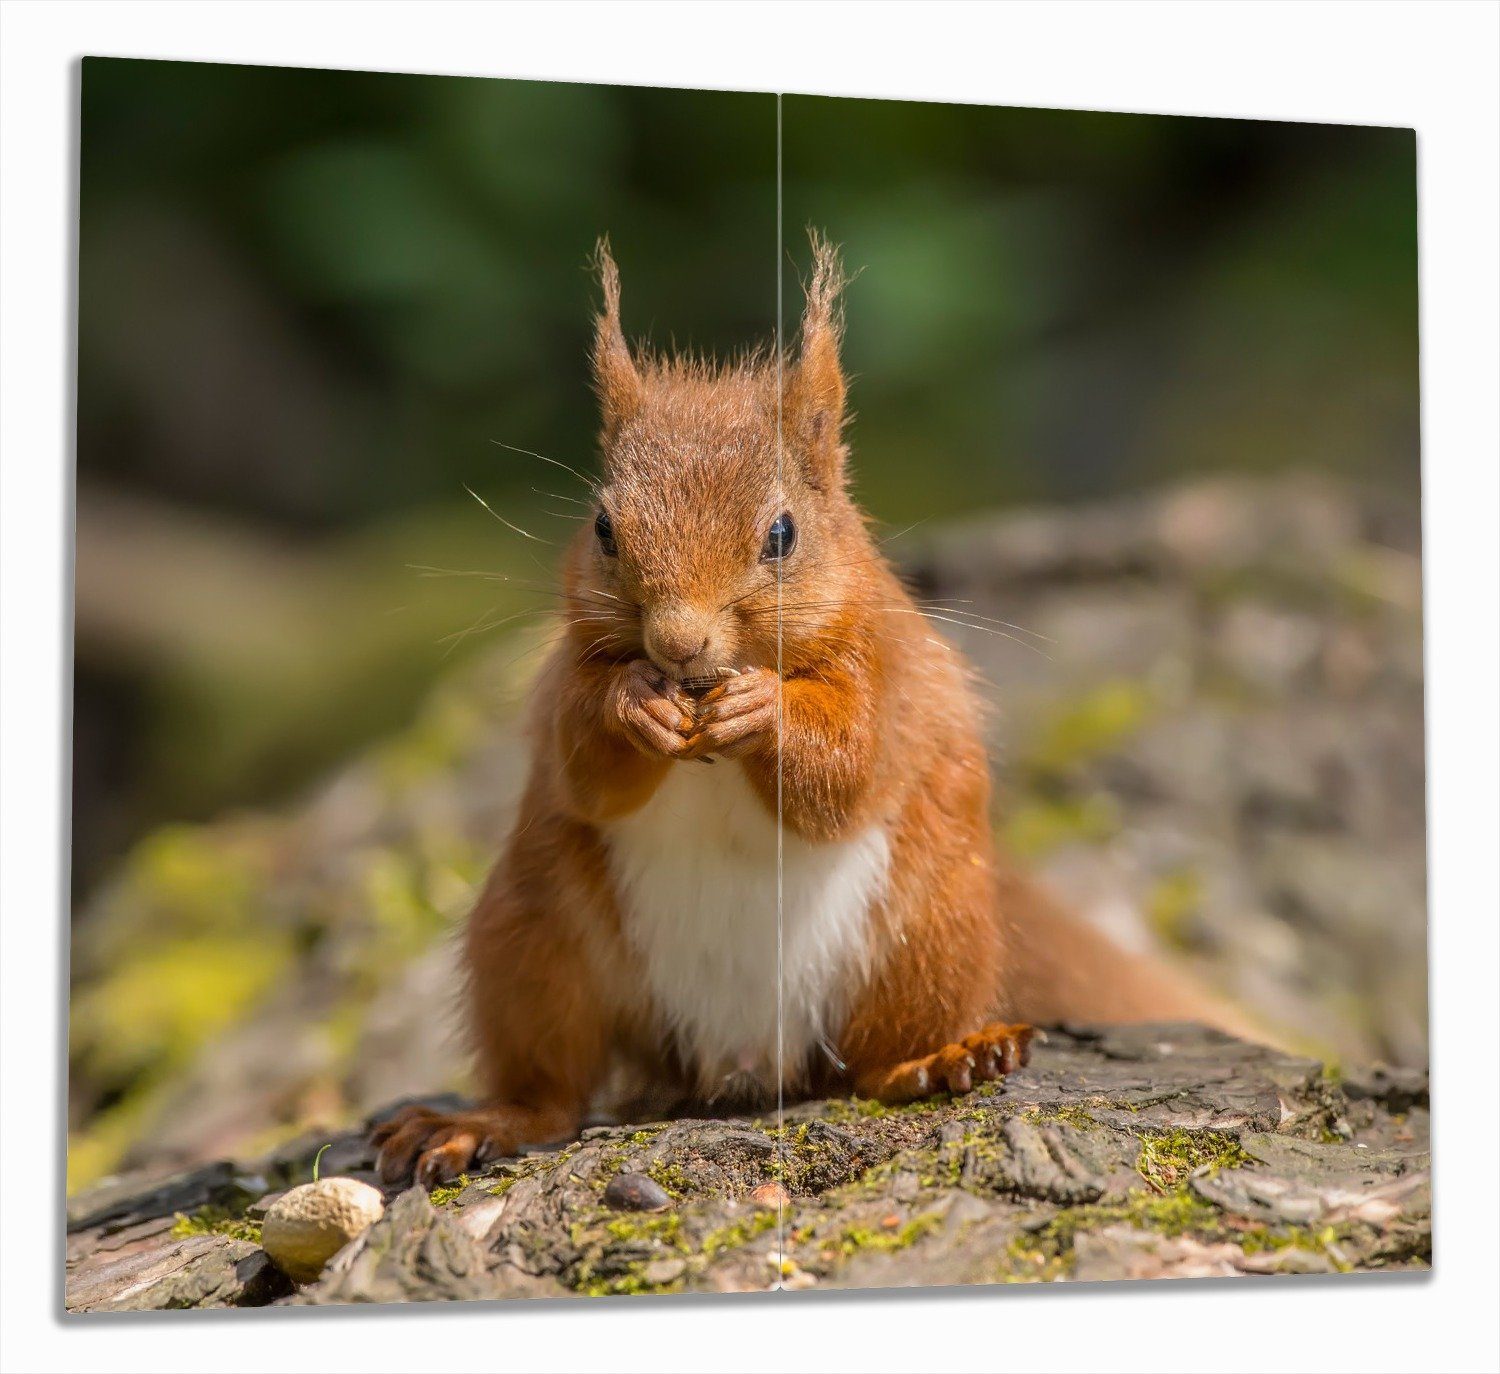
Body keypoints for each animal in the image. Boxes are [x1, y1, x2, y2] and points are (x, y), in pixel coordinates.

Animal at [372, 231, 1242, 1188]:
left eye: (782, 535)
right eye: (603, 530)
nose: (677, 644)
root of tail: (741, 1062)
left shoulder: (887, 671)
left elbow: (848, 767)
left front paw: (766, 712)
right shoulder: (564, 676)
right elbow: (583, 762)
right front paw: (634, 705)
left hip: (928, 930)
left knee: (872, 1063)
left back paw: (941, 1059)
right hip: (531, 939)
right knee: (552, 1087)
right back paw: (481, 1121)